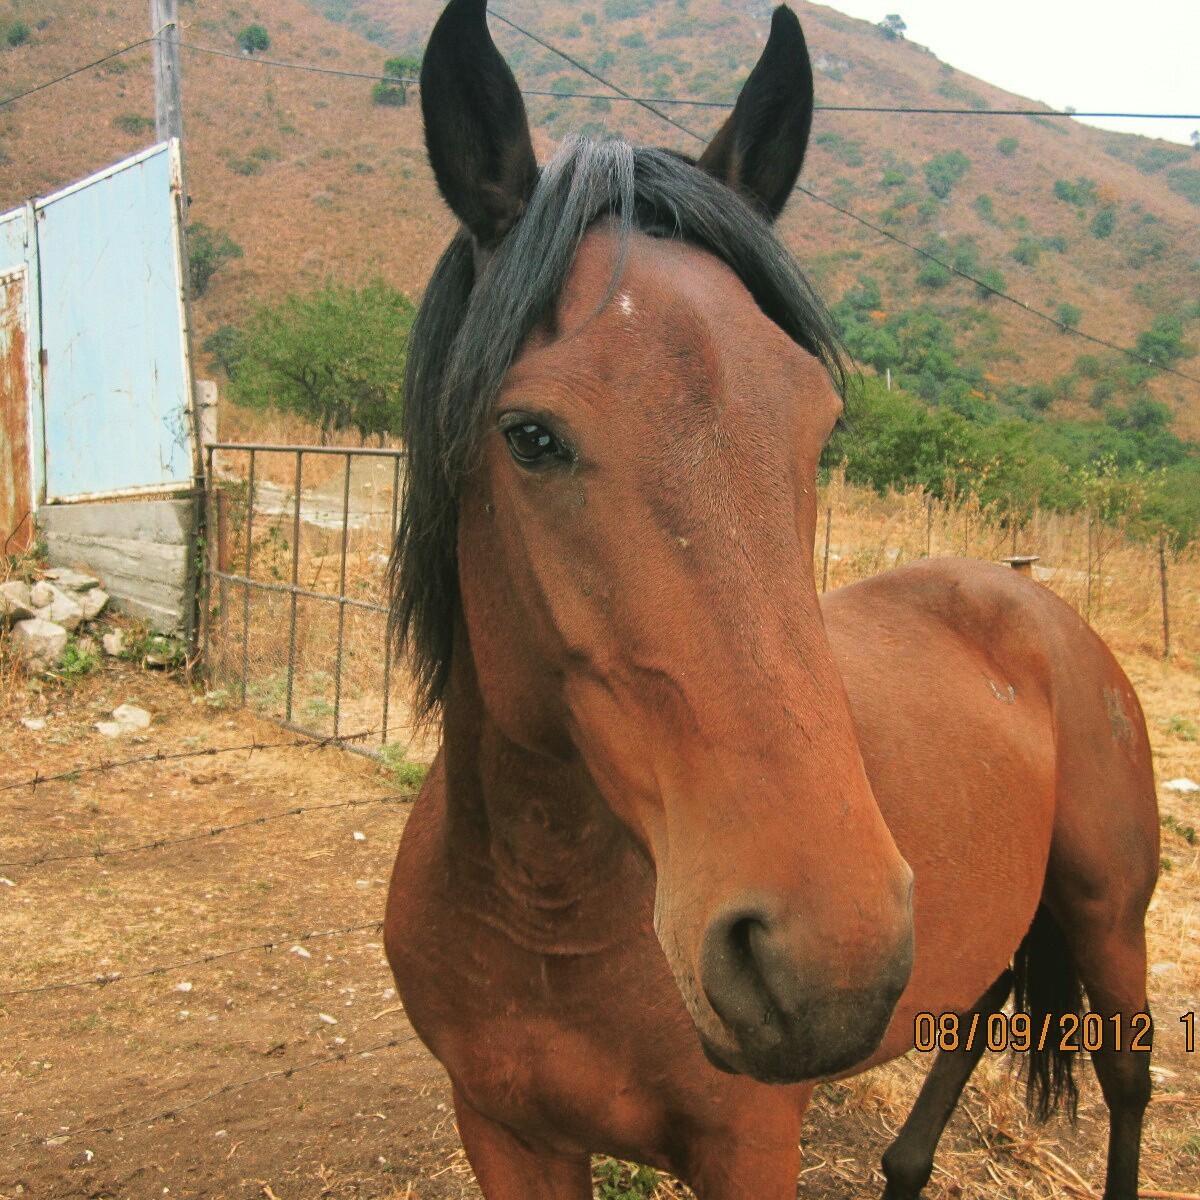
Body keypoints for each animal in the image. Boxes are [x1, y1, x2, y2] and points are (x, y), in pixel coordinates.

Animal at [381, 4, 1152, 1195]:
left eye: (819, 425)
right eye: (530, 436)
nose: (827, 955)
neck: (547, 914)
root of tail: (1039, 606)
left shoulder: (747, 1149)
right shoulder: (503, 1131)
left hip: (1112, 919)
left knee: (1126, 1083)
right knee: (973, 1016)